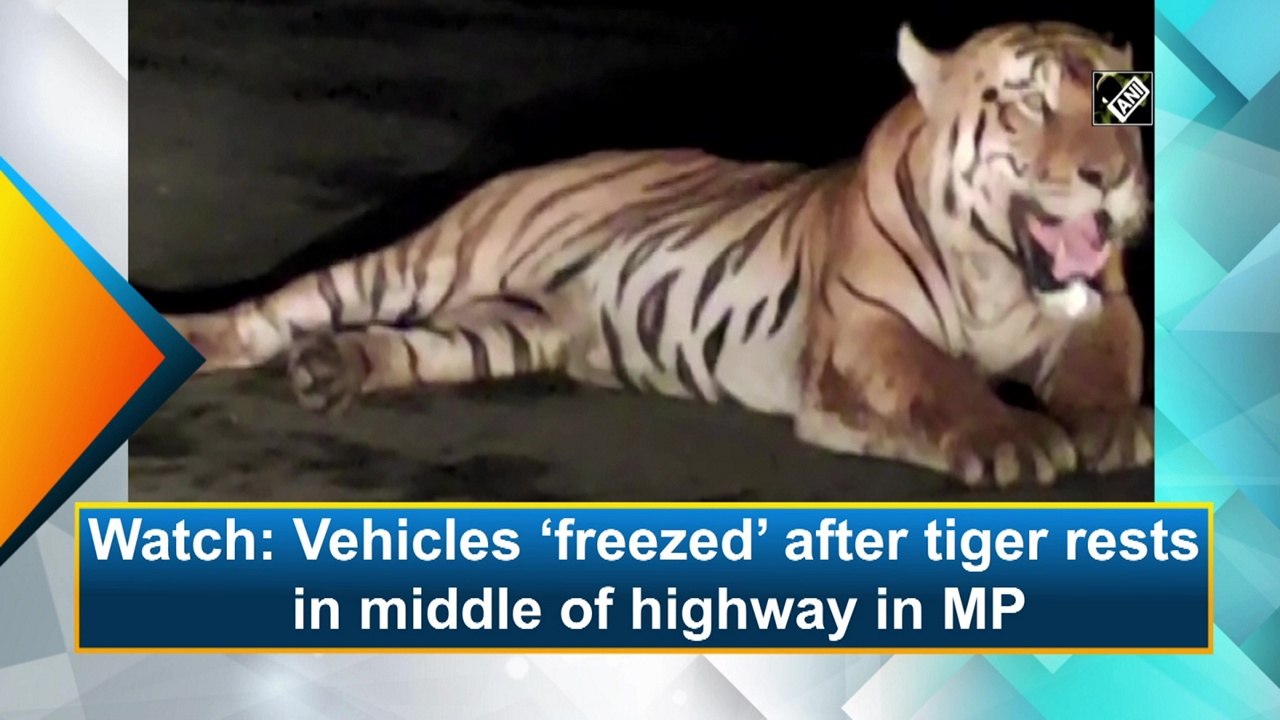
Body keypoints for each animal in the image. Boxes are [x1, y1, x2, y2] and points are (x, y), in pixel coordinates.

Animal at [164, 21, 1153, 490]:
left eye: (1122, 102)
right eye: (1028, 103)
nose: (1108, 179)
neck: (1003, 270)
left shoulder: (1105, 310)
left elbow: (1105, 368)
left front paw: (1114, 429)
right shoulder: (867, 332)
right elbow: (939, 380)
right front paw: (1016, 440)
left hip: (504, 328)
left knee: (401, 345)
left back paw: (329, 372)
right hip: (424, 259)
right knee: (272, 312)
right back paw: (197, 342)